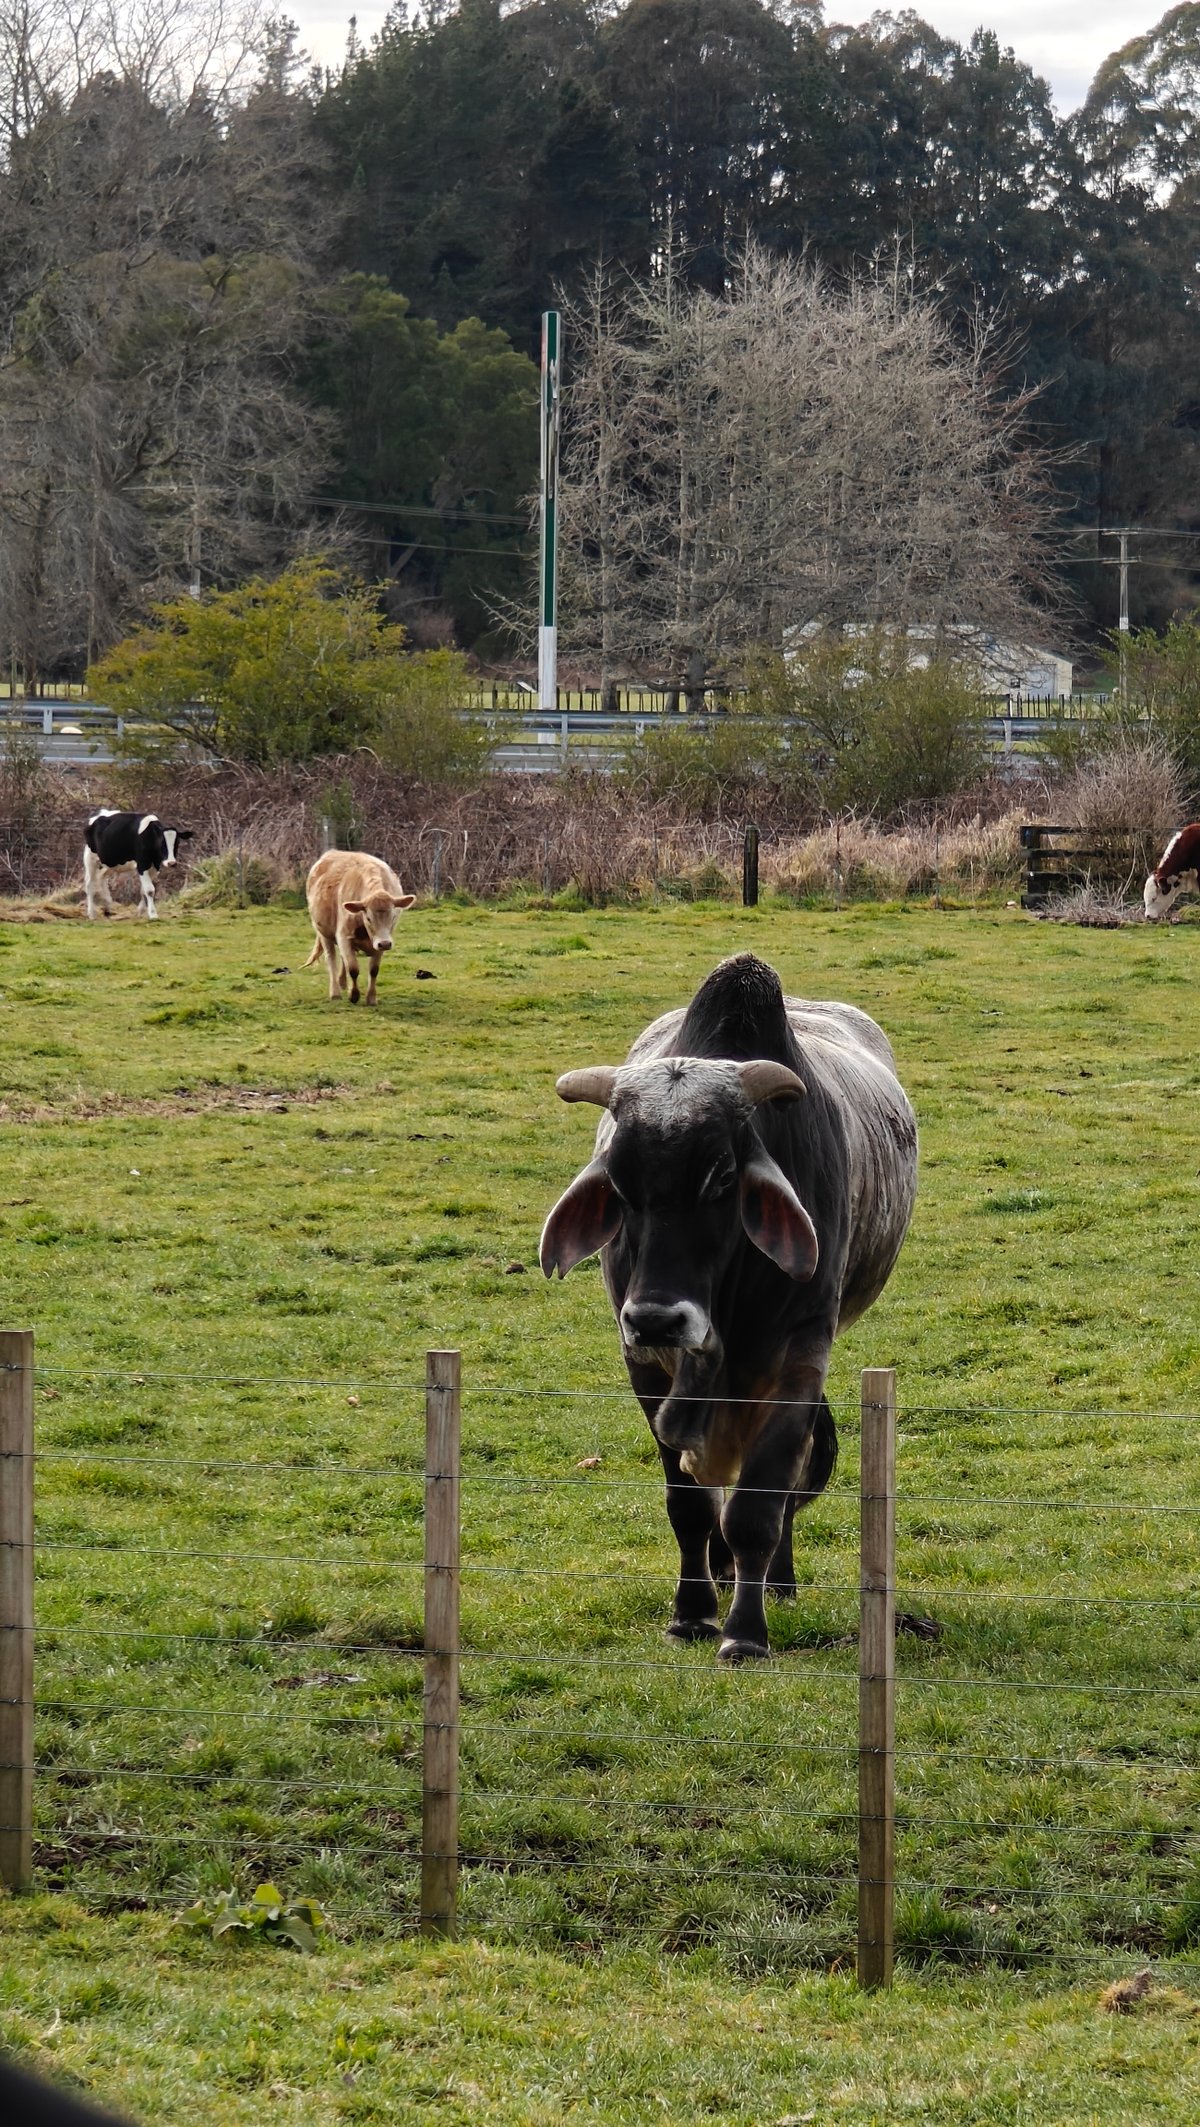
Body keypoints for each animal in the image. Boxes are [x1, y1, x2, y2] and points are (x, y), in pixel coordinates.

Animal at [304, 849, 416, 1005]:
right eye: (368, 918)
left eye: (393, 916)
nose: (385, 944)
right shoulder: (344, 936)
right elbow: (353, 968)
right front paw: (354, 995)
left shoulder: (379, 942)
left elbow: (374, 970)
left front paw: (371, 998)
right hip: (323, 933)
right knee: (331, 959)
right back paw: (335, 992)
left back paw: (342, 983)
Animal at [540, 952, 917, 1662]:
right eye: (619, 1181)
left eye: (721, 1175)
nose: (658, 1317)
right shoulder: (645, 1367)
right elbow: (689, 1507)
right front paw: (692, 1614)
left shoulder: (800, 1355)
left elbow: (759, 1506)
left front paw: (745, 1632)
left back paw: (777, 1584)